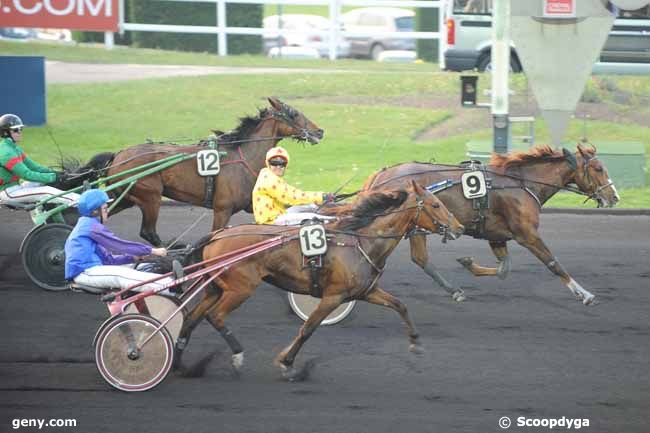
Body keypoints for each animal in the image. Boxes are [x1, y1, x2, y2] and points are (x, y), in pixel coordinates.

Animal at [91, 98, 324, 246]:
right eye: (294, 114)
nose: (319, 131)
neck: (243, 157)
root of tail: (118, 155)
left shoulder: (250, 204)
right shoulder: (222, 209)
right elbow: (215, 234)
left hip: (124, 197)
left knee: (98, 215)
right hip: (150, 196)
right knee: (148, 232)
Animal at [175, 181, 464, 380]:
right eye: (436, 205)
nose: (459, 228)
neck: (360, 242)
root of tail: (216, 235)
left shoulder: (366, 291)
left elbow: (400, 305)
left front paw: (416, 342)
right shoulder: (333, 296)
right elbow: (308, 328)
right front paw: (287, 364)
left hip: (215, 288)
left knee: (190, 319)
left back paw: (182, 364)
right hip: (240, 288)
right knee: (215, 316)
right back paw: (236, 356)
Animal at [362, 142, 620, 304]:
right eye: (598, 168)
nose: (614, 197)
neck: (521, 183)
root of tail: (381, 175)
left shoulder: (496, 235)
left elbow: (504, 269)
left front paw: (468, 263)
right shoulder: (527, 234)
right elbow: (553, 263)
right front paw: (584, 294)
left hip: (418, 225)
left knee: (421, 259)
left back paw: (453, 290)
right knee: (416, 257)